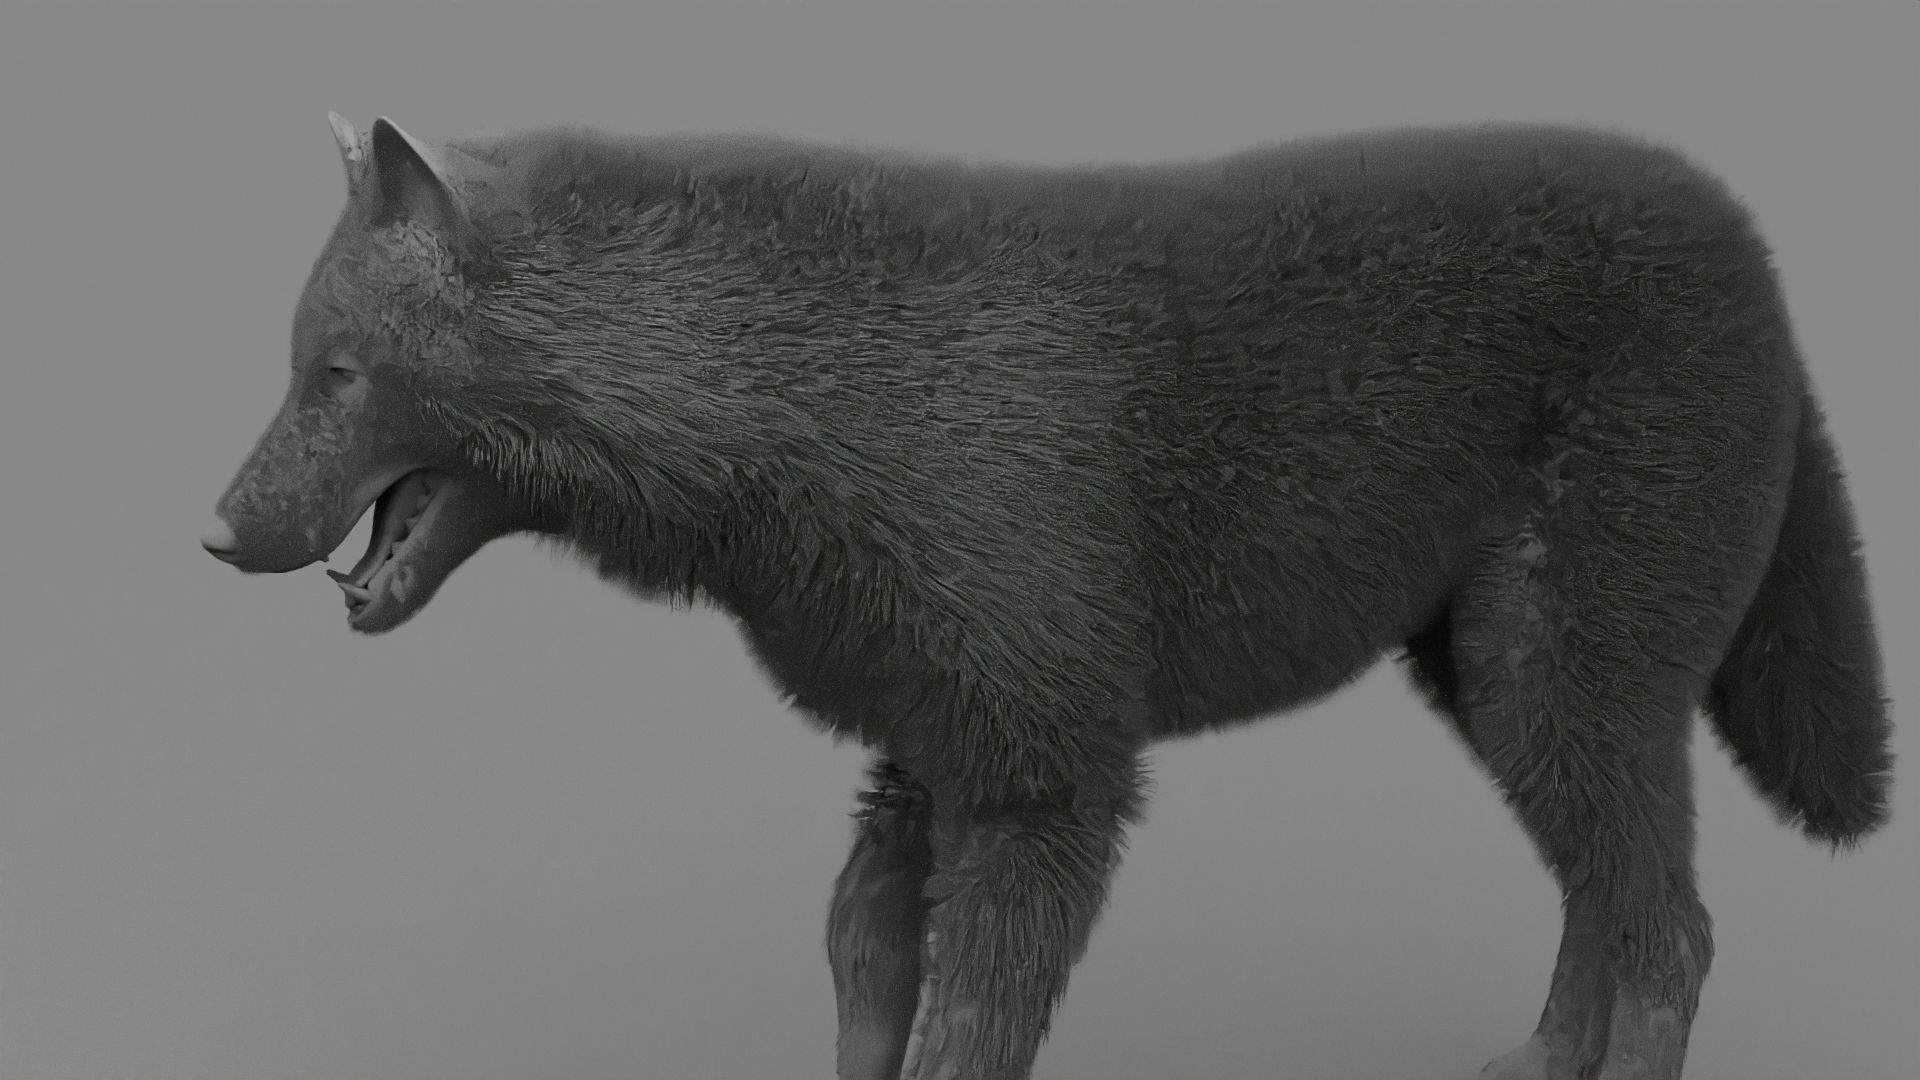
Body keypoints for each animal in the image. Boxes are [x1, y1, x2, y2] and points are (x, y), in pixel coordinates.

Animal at [201, 114, 1891, 1080]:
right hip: (1504, 688)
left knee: (1672, 932)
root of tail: (1756, 252)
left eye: (332, 374)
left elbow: (969, 1031)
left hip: (1559, 685)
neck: (794, 379)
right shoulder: (921, 758)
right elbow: (866, 980)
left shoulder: (1044, 785)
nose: (212, 535)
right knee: (1609, 902)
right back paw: (1536, 1065)